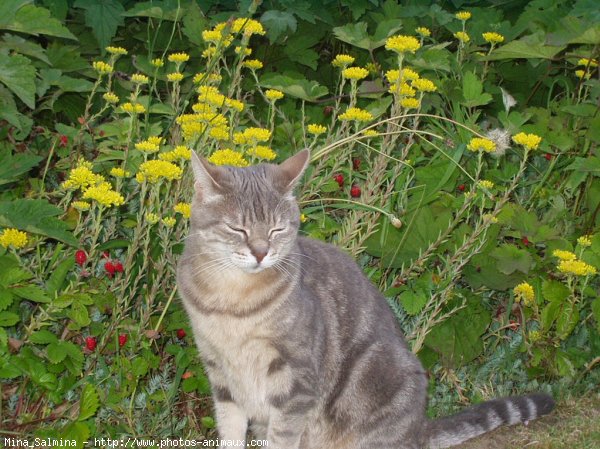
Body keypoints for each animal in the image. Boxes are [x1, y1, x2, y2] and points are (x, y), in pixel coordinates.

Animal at [176, 150, 556, 448]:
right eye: (237, 229)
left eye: (277, 230)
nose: (260, 252)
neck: (232, 302)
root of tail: (418, 429)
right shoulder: (221, 377)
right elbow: (230, 433)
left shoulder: (295, 383)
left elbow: (281, 437)